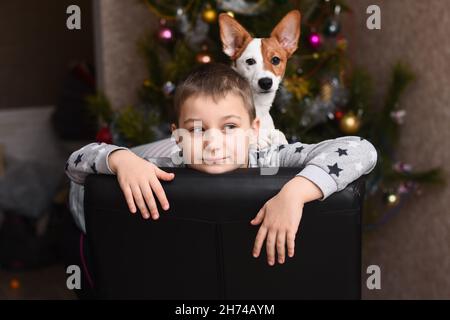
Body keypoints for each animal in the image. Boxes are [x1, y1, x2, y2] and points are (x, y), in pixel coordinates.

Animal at [219, 10, 302, 149]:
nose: (266, 82)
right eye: (250, 61)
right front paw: (258, 140)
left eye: (275, 60)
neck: (259, 107)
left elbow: (279, 134)